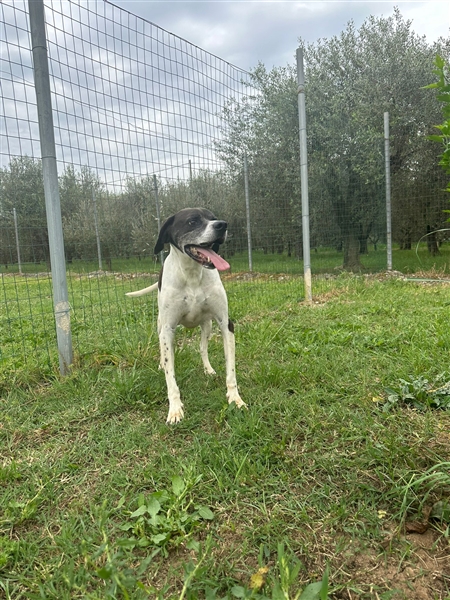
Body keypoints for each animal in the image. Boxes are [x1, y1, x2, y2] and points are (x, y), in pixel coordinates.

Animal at [126, 207, 246, 423]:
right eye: (192, 222)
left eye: (213, 217)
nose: (222, 225)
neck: (192, 274)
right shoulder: (167, 330)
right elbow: (170, 376)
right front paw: (175, 409)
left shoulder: (226, 324)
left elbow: (231, 370)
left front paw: (235, 399)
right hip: (160, 327)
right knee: (165, 353)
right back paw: (162, 364)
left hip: (207, 326)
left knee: (202, 348)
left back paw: (208, 369)